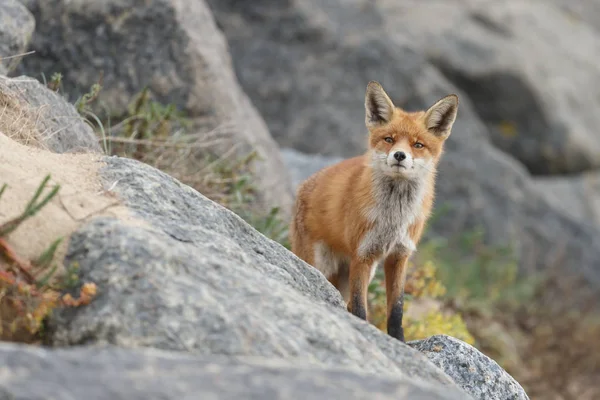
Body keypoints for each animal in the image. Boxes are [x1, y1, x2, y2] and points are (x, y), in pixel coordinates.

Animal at [290, 80, 460, 340]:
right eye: (389, 139)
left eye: (418, 145)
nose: (399, 155)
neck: (393, 218)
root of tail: (304, 186)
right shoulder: (363, 253)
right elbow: (360, 307)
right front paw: (364, 330)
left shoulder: (399, 255)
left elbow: (396, 309)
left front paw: (398, 340)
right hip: (319, 263)